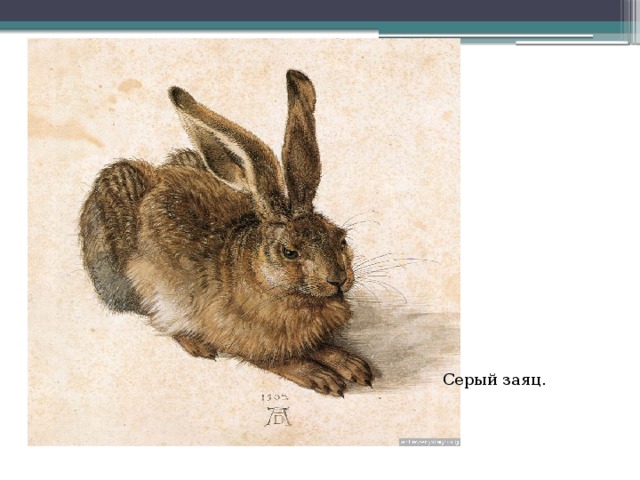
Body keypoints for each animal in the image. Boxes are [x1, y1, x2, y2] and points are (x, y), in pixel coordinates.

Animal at [79, 70, 373, 397]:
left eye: (341, 238)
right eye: (289, 252)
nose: (338, 280)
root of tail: (158, 175)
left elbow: (322, 347)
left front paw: (352, 365)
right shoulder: (245, 340)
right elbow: (280, 360)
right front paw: (321, 376)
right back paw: (195, 343)